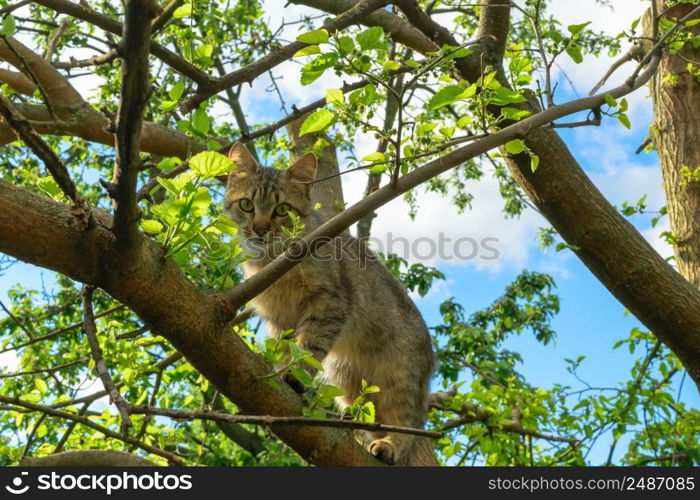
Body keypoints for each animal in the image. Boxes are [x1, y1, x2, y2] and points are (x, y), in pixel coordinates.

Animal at [223, 142, 438, 464]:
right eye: (247, 204)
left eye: (282, 209)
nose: (260, 229)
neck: (272, 262)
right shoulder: (279, 319)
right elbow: (286, 349)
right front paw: (282, 370)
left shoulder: (330, 302)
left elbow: (308, 348)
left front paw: (295, 375)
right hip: (348, 382)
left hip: (400, 378)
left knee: (406, 424)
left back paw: (389, 445)